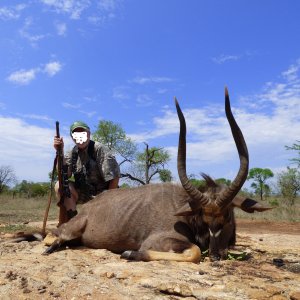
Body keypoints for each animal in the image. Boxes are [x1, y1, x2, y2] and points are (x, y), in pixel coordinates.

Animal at [44, 87, 270, 262]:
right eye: (203, 217)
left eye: (228, 216)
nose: (216, 255)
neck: (185, 210)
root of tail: (89, 207)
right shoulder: (156, 240)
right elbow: (195, 251)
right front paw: (130, 253)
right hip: (71, 229)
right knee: (51, 235)